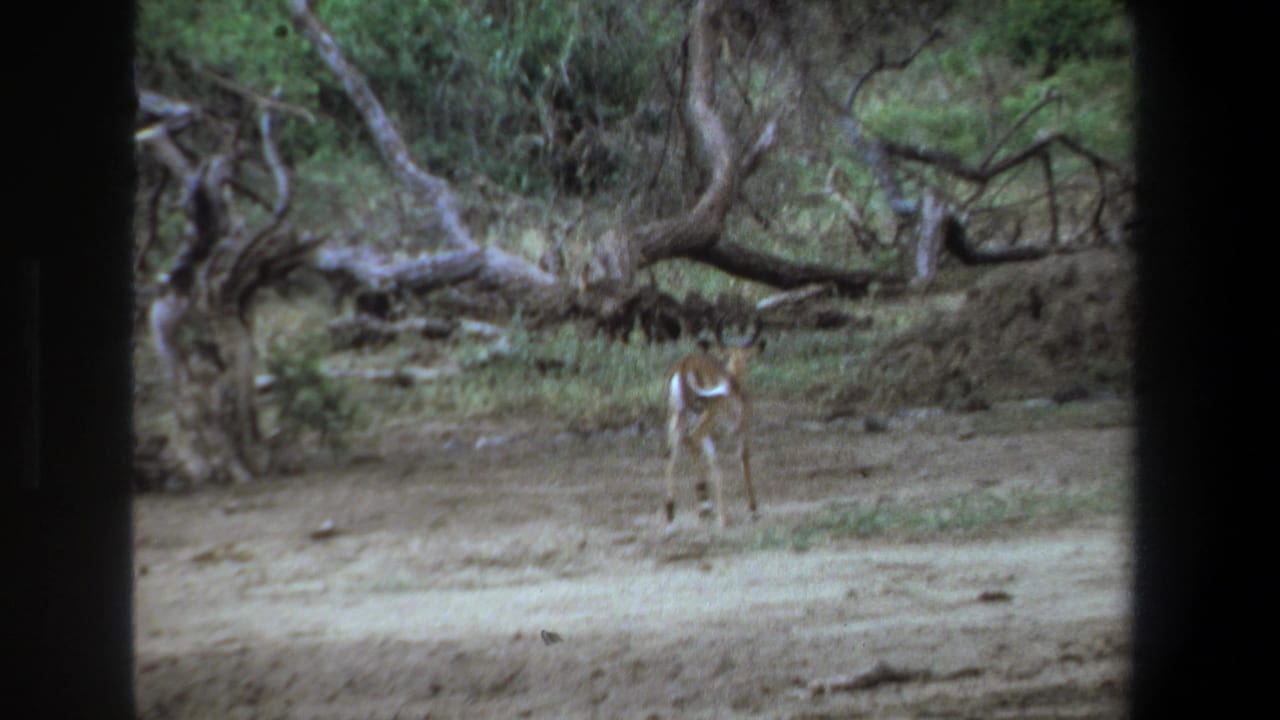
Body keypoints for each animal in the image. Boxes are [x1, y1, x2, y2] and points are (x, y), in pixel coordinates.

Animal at [663, 320, 764, 528]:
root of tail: (683, 367)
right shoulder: (742, 429)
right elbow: (743, 459)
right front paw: (753, 508)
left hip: (676, 416)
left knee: (673, 451)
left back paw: (673, 511)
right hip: (703, 418)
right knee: (698, 446)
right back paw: (718, 514)